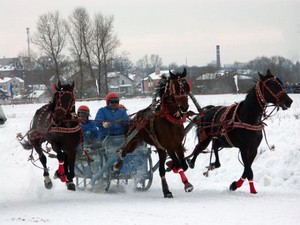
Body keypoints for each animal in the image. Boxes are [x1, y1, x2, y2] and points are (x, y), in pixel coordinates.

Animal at [113, 68, 193, 197]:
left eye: (186, 86)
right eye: (175, 87)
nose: (184, 107)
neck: (170, 119)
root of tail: (135, 118)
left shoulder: (177, 145)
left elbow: (183, 165)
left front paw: (173, 167)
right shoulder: (169, 146)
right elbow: (179, 164)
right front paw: (186, 184)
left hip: (158, 149)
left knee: (161, 170)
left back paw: (166, 190)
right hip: (133, 141)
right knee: (124, 151)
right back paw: (116, 166)